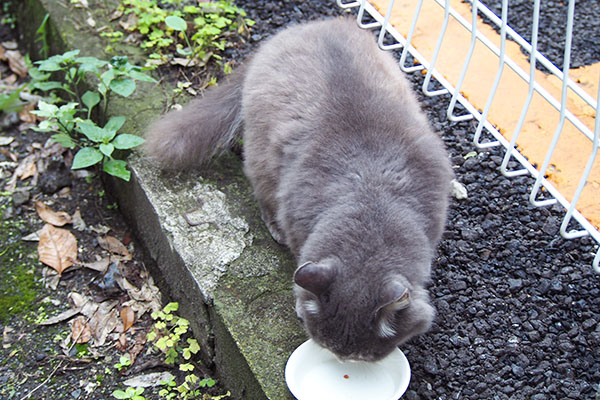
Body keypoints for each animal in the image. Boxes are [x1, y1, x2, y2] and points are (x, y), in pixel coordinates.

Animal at [145, 18, 452, 362]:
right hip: (262, 158)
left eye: (362, 357)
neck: (372, 207)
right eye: (331, 347)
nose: (342, 361)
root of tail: (306, 26)